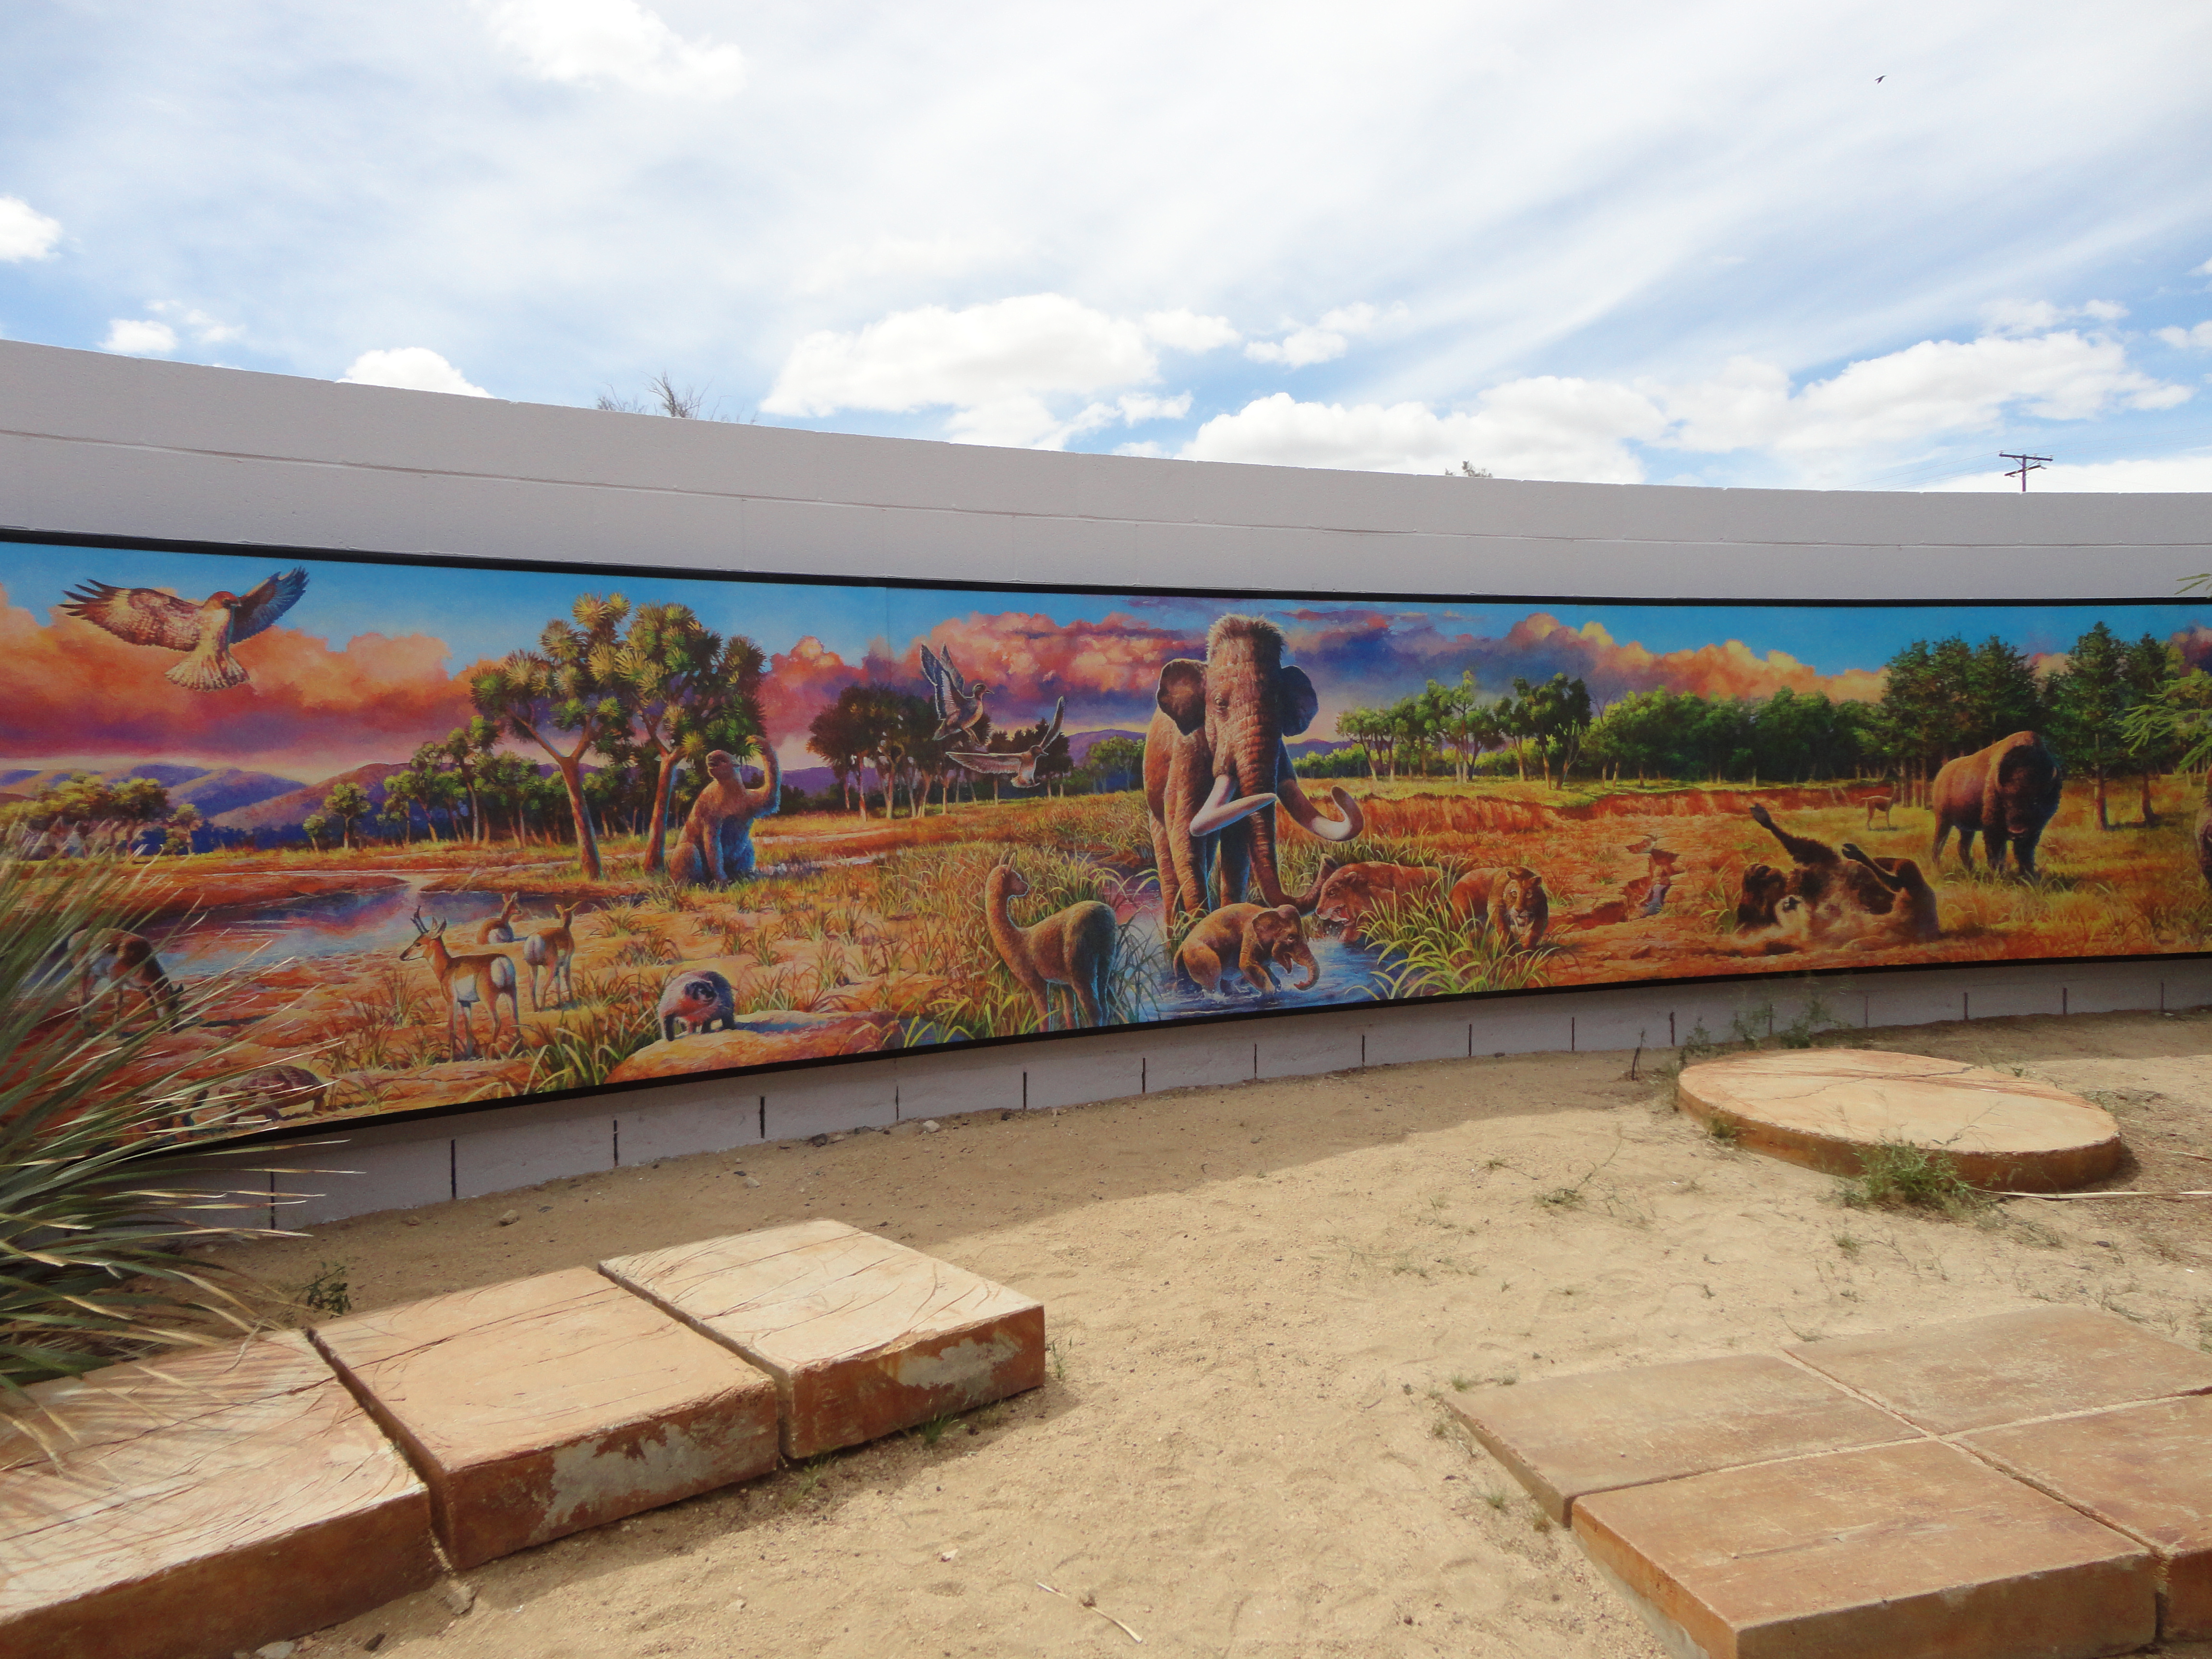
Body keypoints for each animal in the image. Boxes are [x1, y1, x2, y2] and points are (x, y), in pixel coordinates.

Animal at [400, 911, 515, 1066]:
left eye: (418, 943)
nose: (402, 956)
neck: (448, 966)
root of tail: (500, 961)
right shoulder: (465, 1003)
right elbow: (468, 1027)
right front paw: (469, 1056)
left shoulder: (451, 1001)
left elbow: (452, 1028)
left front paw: (451, 1059)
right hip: (511, 993)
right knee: (516, 1018)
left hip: (488, 998)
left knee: (497, 1021)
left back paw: (489, 1056)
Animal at [522, 911, 579, 1013]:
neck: (564, 929)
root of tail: (534, 939)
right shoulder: (567, 961)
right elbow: (567, 978)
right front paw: (571, 1001)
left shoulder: (557, 968)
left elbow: (558, 983)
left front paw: (560, 1004)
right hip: (549, 968)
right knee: (543, 987)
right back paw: (542, 1009)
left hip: (533, 967)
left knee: (532, 988)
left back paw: (536, 1009)